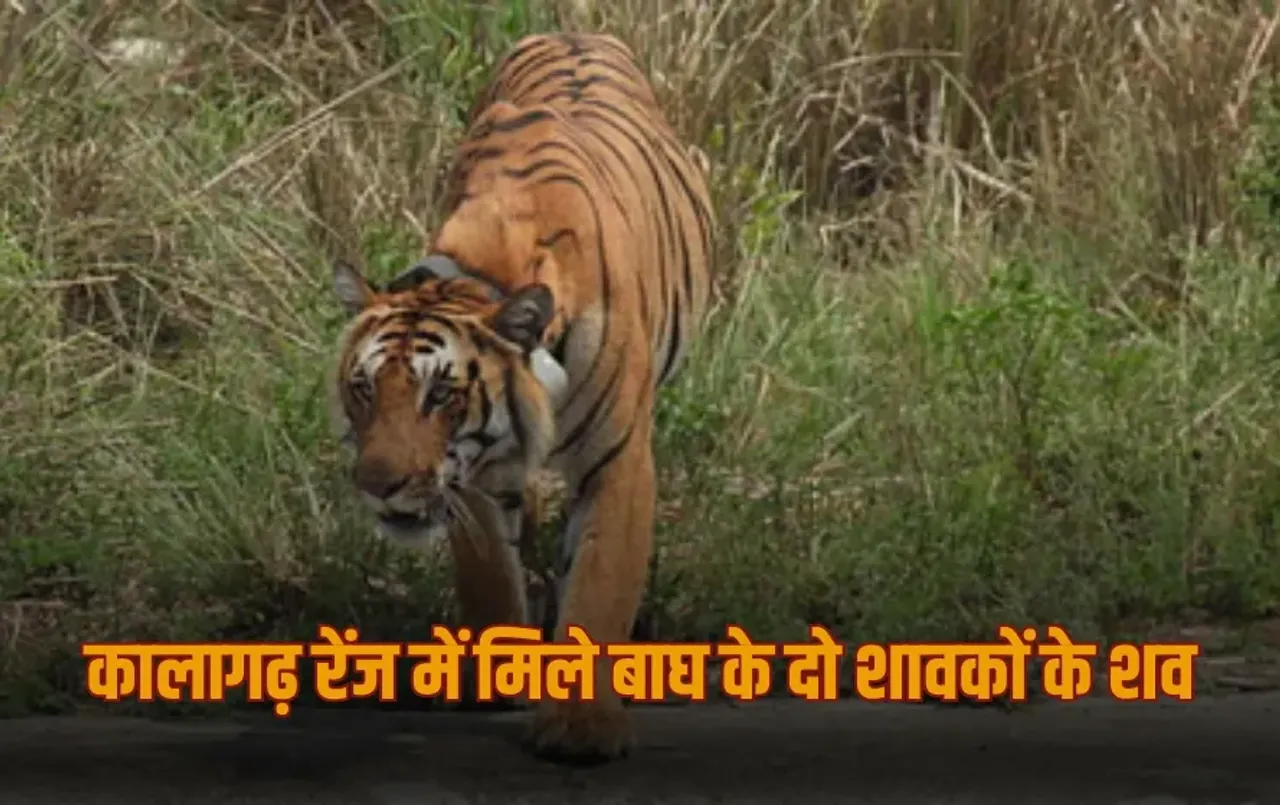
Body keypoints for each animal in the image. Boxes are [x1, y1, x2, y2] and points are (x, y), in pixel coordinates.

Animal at [328, 32, 715, 764]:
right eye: (364, 390)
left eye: (440, 394)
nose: (378, 486)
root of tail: (574, 32)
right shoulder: (473, 475)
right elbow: (487, 573)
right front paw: (495, 682)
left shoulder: (619, 462)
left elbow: (599, 584)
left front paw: (583, 727)